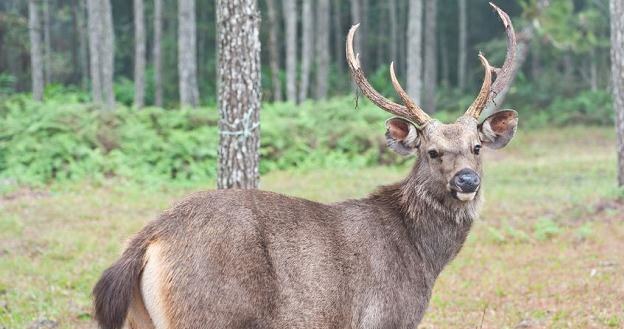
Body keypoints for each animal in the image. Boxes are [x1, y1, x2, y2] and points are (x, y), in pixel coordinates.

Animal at [94, 3, 516, 328]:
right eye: (431, 151)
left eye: (477, 147)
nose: (467, 180)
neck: (423, 257)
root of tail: (149, 239)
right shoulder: (383, 316)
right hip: (205, 314)